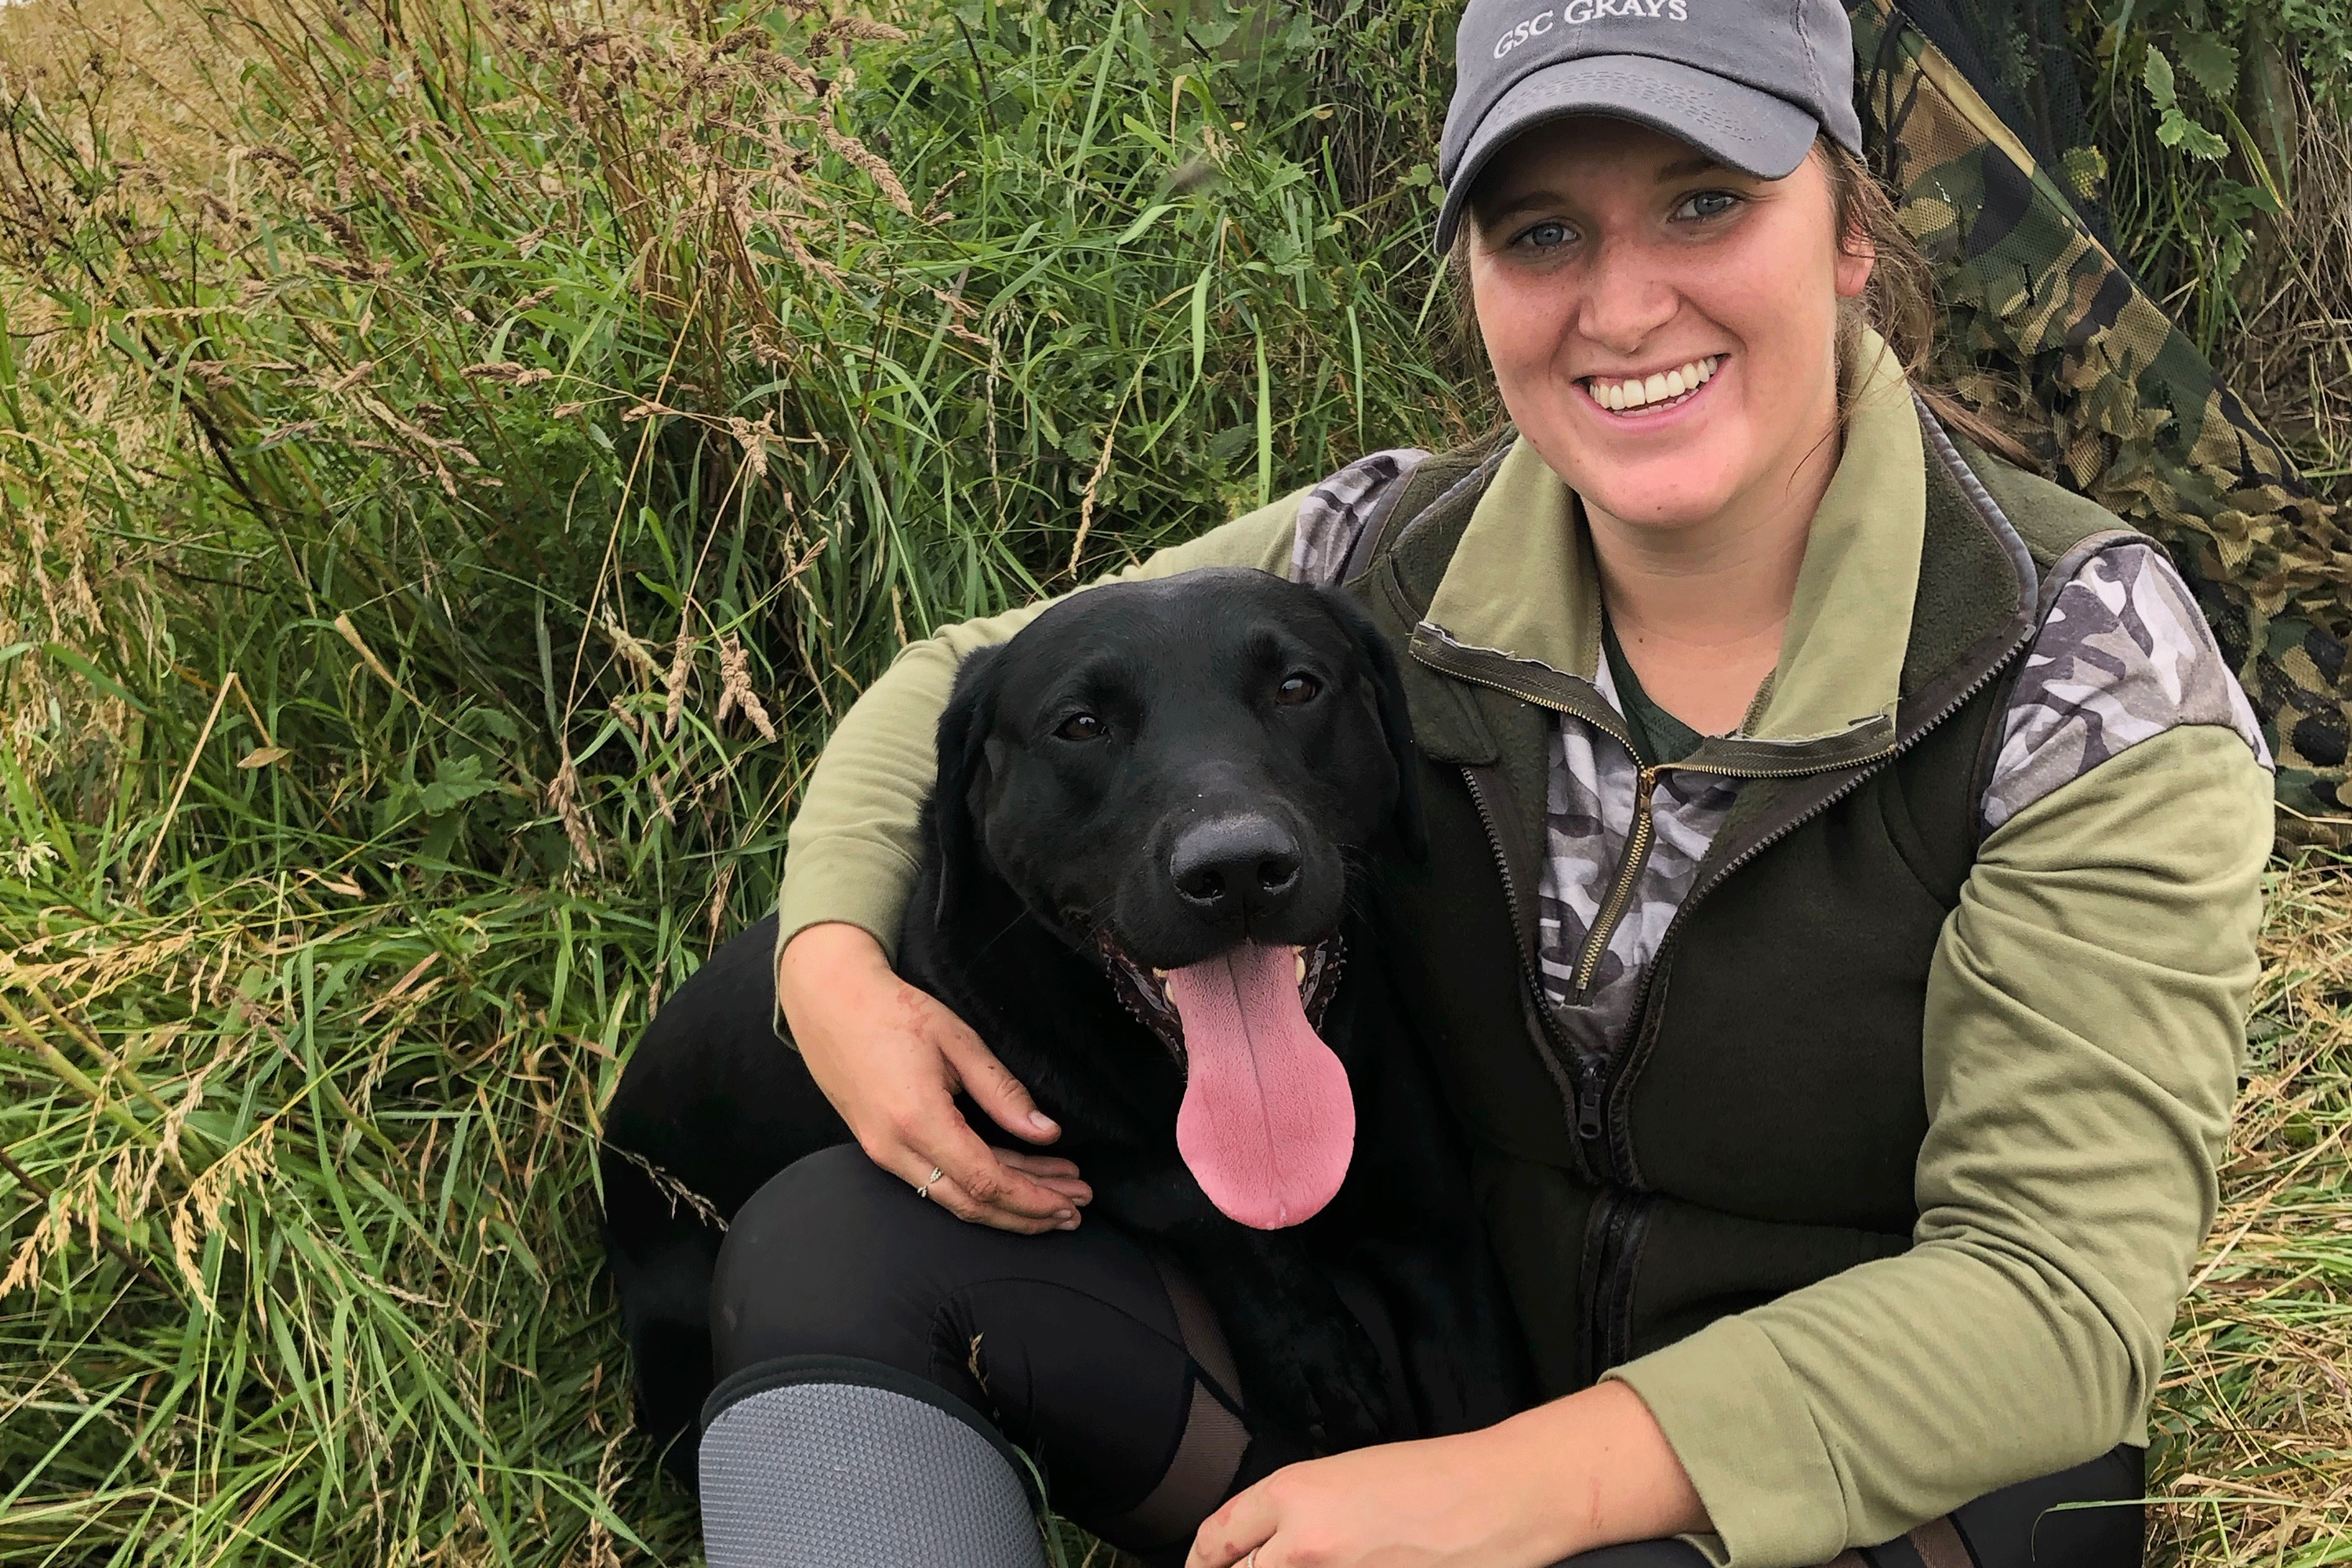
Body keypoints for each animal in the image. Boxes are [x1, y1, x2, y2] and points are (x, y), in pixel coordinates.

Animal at [597, 564, 1534, 1486]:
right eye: (1081, 725)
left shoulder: (1439, 1243)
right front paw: (1313, 1348)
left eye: (1297, 687)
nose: (1235, 869)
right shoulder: (1037, 1130)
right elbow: (1180, 1190)